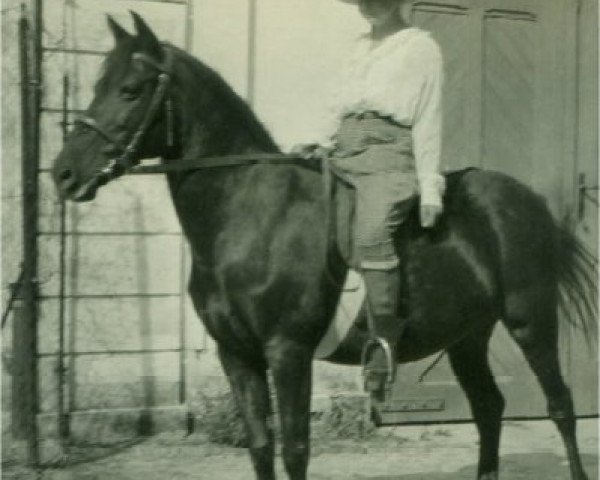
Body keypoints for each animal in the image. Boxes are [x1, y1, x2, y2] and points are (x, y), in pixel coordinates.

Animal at [51, 11, 596, 480]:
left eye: (130, 89)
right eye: (98, 85)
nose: (63, 174)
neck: (250, 215)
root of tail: (529, 200)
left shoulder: (288, 351)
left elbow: (295, 449)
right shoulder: (237, 354)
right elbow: (261, 446)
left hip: (530, 320)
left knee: (561, 407)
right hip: (466, 335)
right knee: (488, 408)